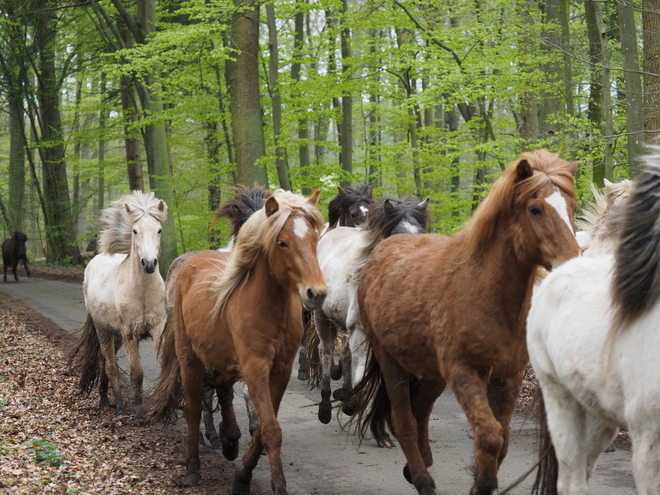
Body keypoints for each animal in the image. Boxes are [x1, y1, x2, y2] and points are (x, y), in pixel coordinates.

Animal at [69, 192, 166, 420]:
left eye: (158, 230)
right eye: (135, 231)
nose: (149, 264)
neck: (142, 292)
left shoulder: (157, 327)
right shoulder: (130, 333)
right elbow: (136, 373)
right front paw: (138, 413)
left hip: (116, 336)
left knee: (106, 363)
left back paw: (107, 399)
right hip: (104, 331)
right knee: (110, 364)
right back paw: (119, 406)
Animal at [150, 189, 324, 492]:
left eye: (315, 239)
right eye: (282, 243)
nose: (317, 292)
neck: (269, 307)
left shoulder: (280, 370)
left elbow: (264, 425)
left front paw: (242, 474)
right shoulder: (255, 367)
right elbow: (270, 428)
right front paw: (276, 485)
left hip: (221, 358)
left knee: (222, 390)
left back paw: (229, 440)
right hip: (190, 358)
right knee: (193, 407)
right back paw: (193, 468)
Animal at [314, 198, 430, 450]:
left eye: (422, 234)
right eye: (395, 236)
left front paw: (387, 431)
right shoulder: (361, 333)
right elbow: (366, 379)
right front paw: (358, 413)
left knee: (346, 356)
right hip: (321, 317)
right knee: (325, 353)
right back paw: (326, 409)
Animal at [348, 150, 580, 495]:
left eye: (572, 208)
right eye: (535, 209)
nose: (573, 262)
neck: (485, 295)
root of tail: (385, 248)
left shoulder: (507, 378)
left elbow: (503, 438)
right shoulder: (465, 373)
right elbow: (489, 435)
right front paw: (482, 485)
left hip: (432, 372)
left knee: (420, 410)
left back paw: (418, 465)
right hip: (391, 361)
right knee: (404, 418)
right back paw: (422, 478)